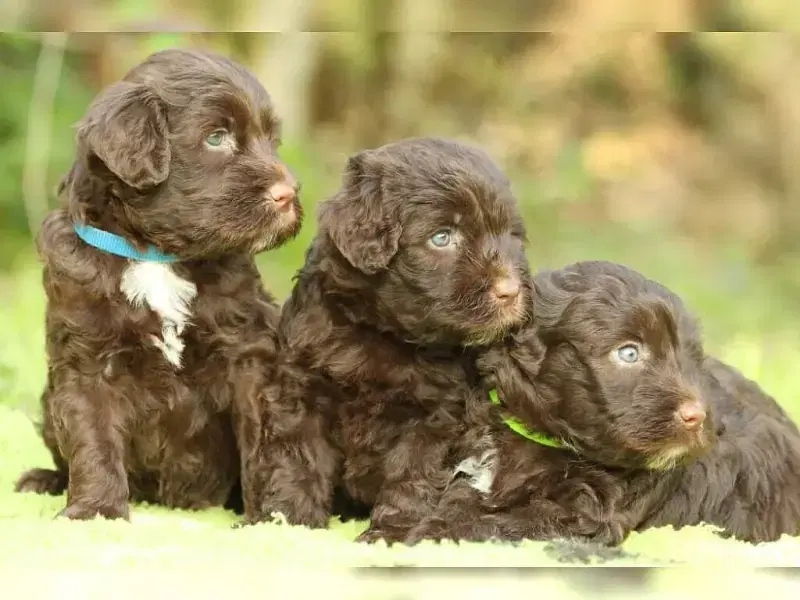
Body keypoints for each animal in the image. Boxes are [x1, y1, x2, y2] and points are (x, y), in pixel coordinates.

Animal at [14, 48, 302, 520]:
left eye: (271, 140)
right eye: (216, 137)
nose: (289, 194)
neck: (157, 254)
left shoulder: (249, 355)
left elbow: (263, 440)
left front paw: (269, 517)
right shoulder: (86, 359)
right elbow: (92, 440)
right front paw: (95, 511)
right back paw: (43, 480)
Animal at [243, 137, 533, 542]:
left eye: (512, 237)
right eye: (442, 238)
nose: (511, 291)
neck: (382, 333)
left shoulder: (436, 415)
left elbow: (412, 472)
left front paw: (391, 532)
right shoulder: (300, 391)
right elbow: (297, 460)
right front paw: (286, 524)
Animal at [403, 260, 800, 545]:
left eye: (691, 357)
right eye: (629, 353)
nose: (698, 417)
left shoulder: (584, 516)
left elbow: (505, 523)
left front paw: (432, 533)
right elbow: (461, 497)